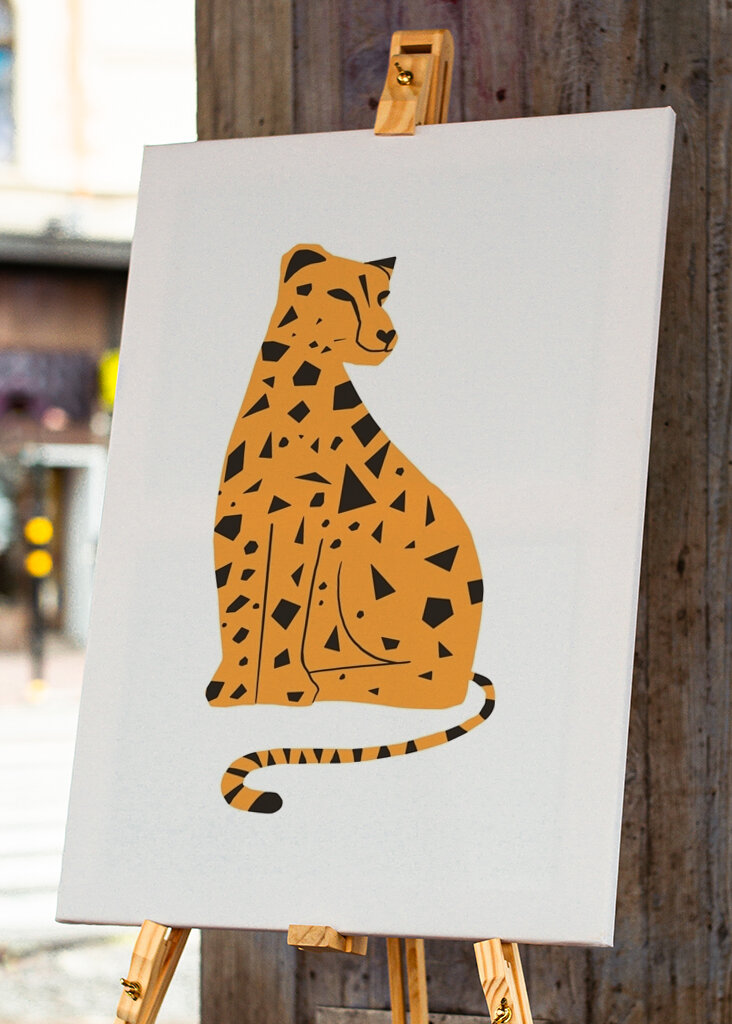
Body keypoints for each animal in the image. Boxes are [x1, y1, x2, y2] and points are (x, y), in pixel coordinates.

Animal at [207, 244, 495, 813]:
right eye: (340, 294)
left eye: (382, 297)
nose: (386, 333)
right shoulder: (237, 520)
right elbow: (237, 606)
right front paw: (235, 686)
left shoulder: (307, 524)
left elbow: (283, 609)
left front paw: (285, 688)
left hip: (359, 557)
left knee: (423, 682)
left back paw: (342, 679)